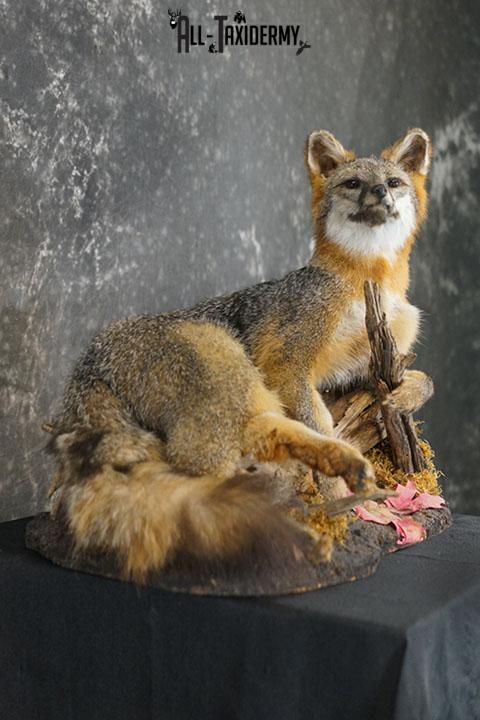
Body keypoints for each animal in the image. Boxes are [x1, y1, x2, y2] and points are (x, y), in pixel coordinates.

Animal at [47, 127, 431, 582]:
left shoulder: (365, 368)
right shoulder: (286, 363)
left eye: (393, 183)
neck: (369, 283)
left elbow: (421, 379)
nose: (378, 192)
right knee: (202, 463)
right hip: (229, 367)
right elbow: (317, 418)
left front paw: (406, 396)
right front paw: (338, 498)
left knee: (257, 438)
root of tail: (88, 356)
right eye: (353, 183)